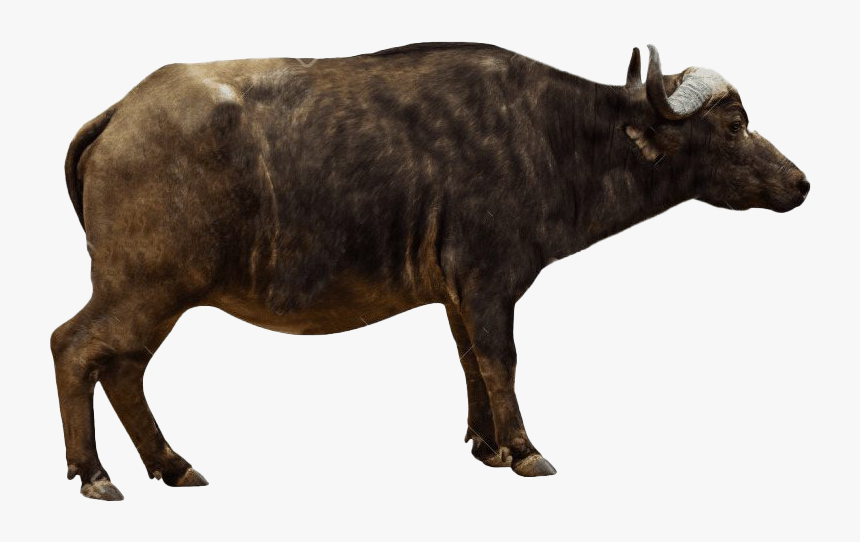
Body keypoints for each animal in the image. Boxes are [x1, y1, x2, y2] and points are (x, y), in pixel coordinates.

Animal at [53, 42, 808, 500]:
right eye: (735, 124)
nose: (800, 183)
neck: (554, 135)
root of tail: (120, 113)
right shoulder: (489, 283)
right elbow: (501, 360)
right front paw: (525, 449)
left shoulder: (456, 297)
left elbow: (470, 360)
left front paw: (488, 446)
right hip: (143, 287)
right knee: (74, 347)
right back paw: (94, 473)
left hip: (159, 296)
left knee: (123, 369)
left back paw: (169, 465)